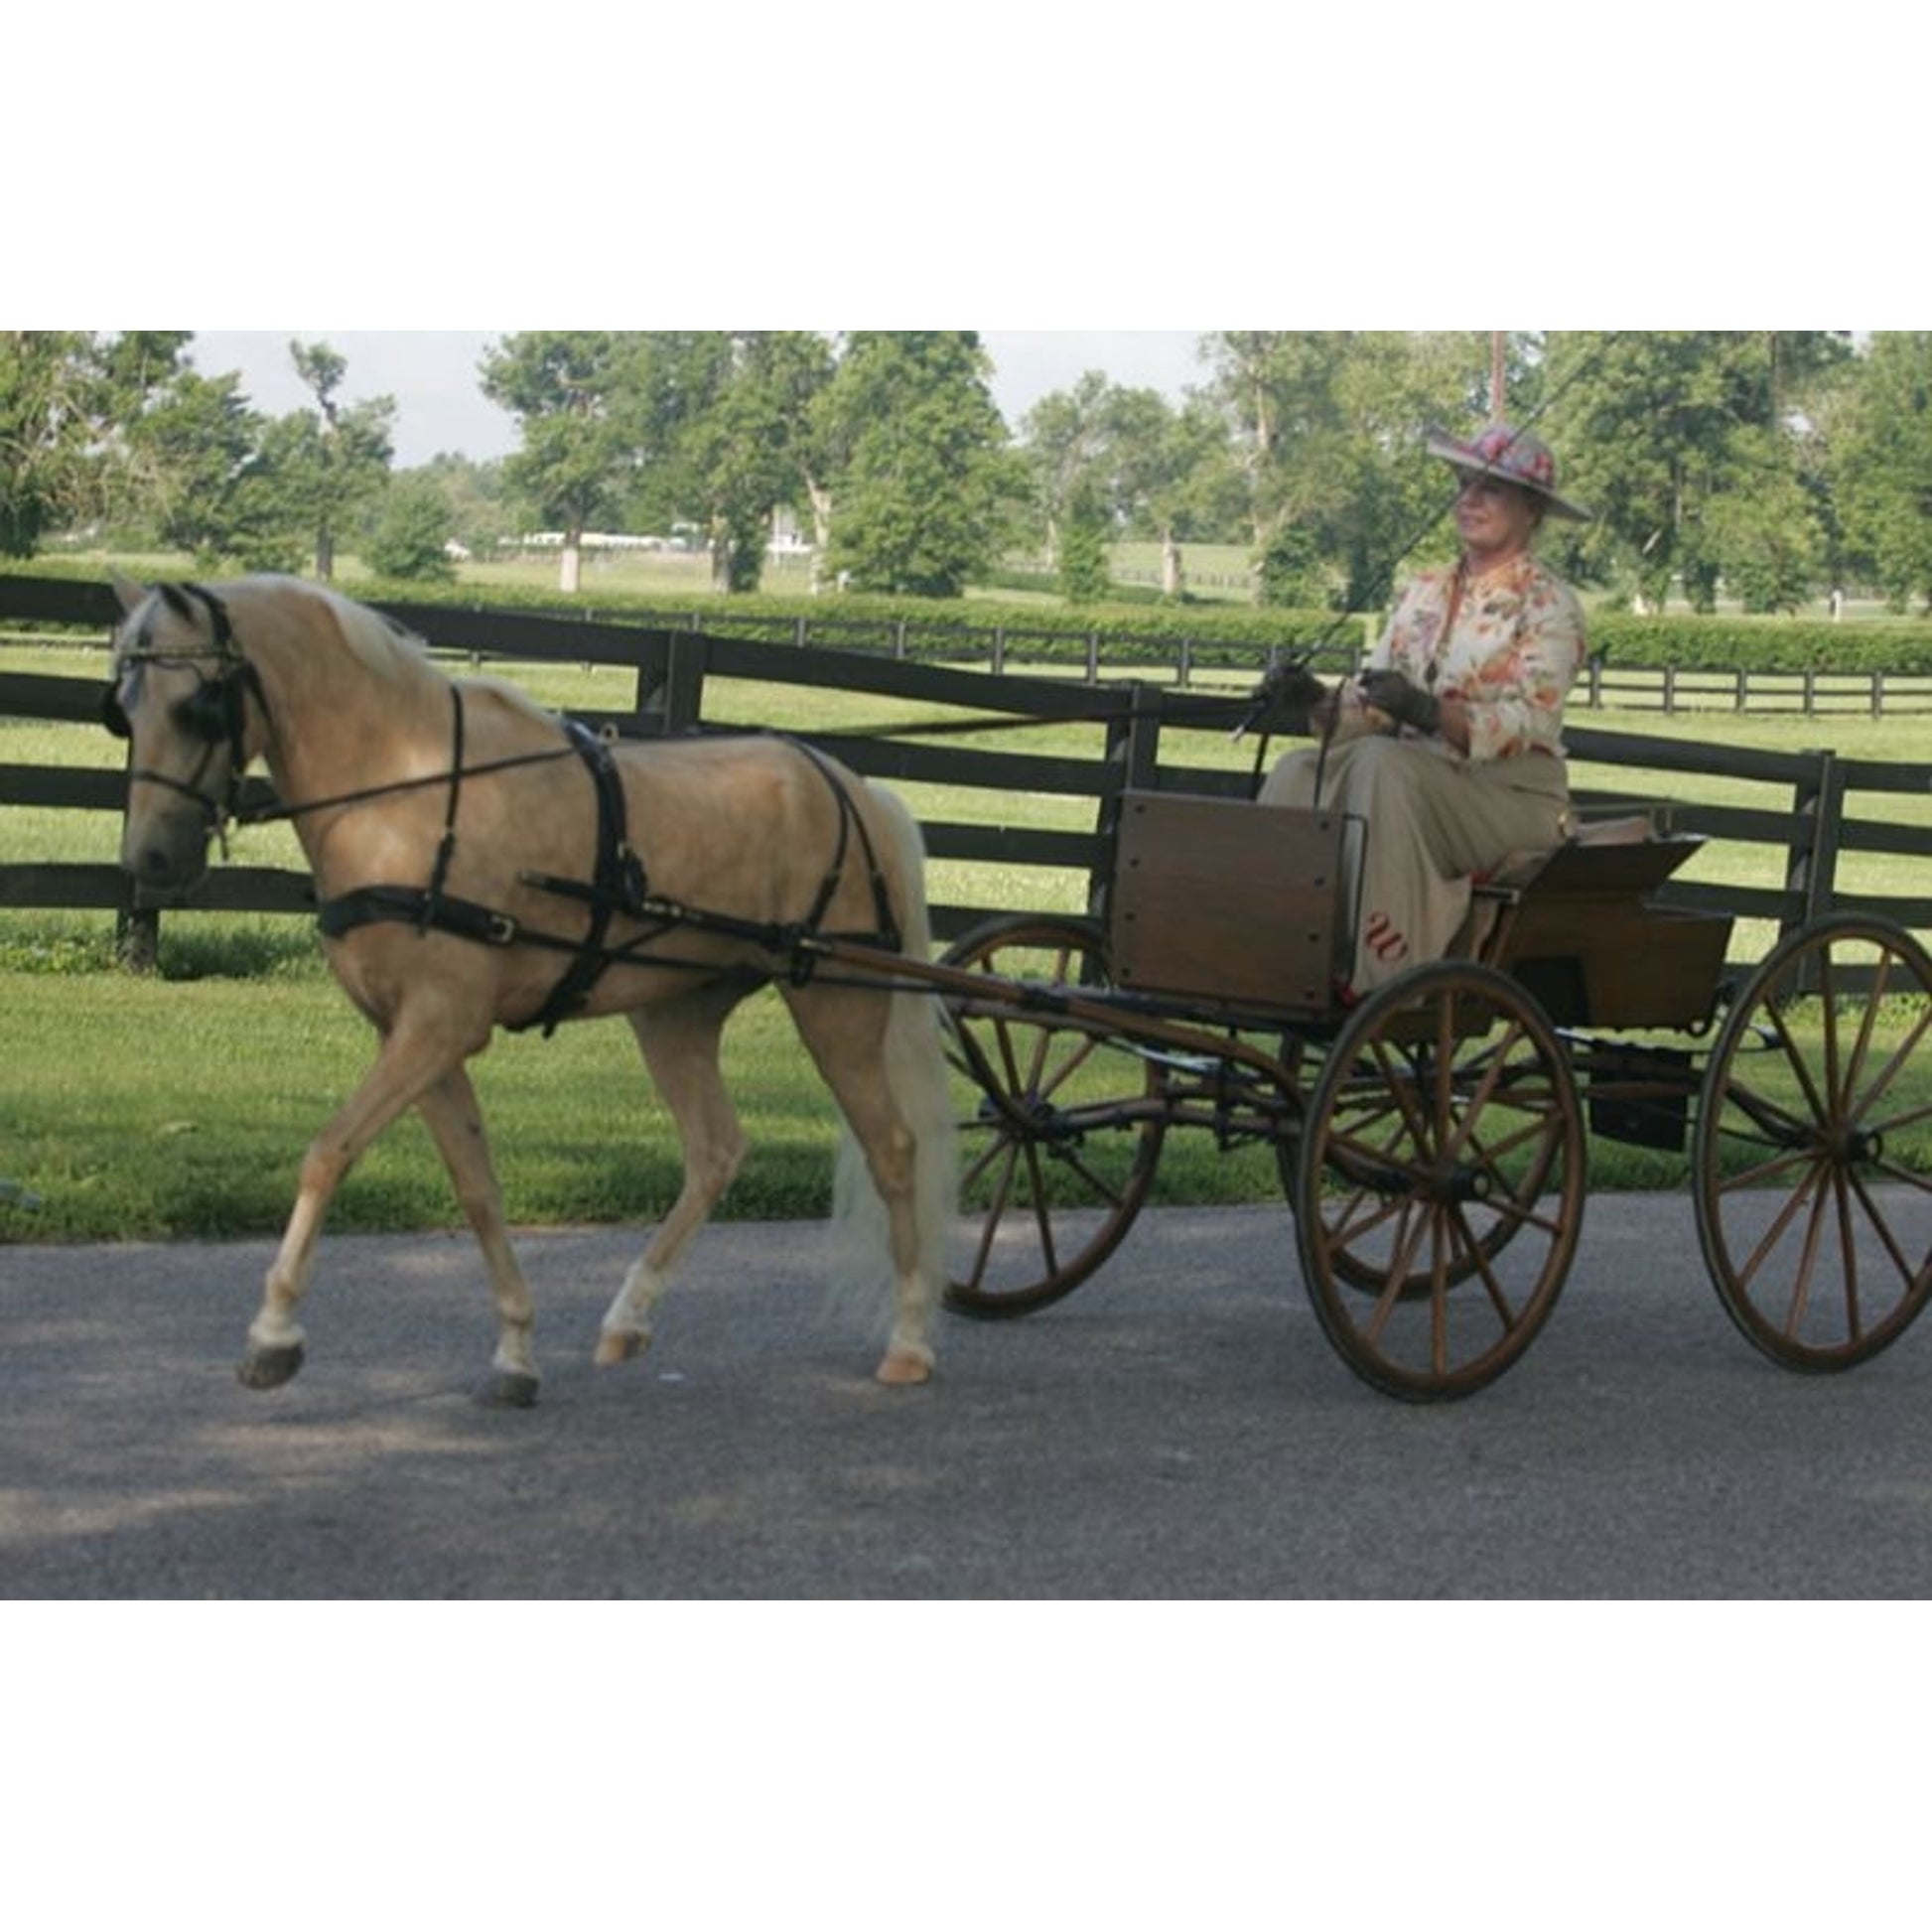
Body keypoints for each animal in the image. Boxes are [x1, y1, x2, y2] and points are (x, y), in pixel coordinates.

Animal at [103, 573, 956, 1404]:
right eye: (122, 711)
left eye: (195, 706)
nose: (148, 860)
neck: (403, 787)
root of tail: (853, 786)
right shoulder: (417, 1037)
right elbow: (477, 1187)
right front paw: (515, 1349)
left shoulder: (440, 1026)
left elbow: (328, 1152)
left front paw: (273, 1334)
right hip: (675, 1013)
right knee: (716, 1151)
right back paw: (628, 1316)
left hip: (838, 1003)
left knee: (893, 1150)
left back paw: (911, 1338)